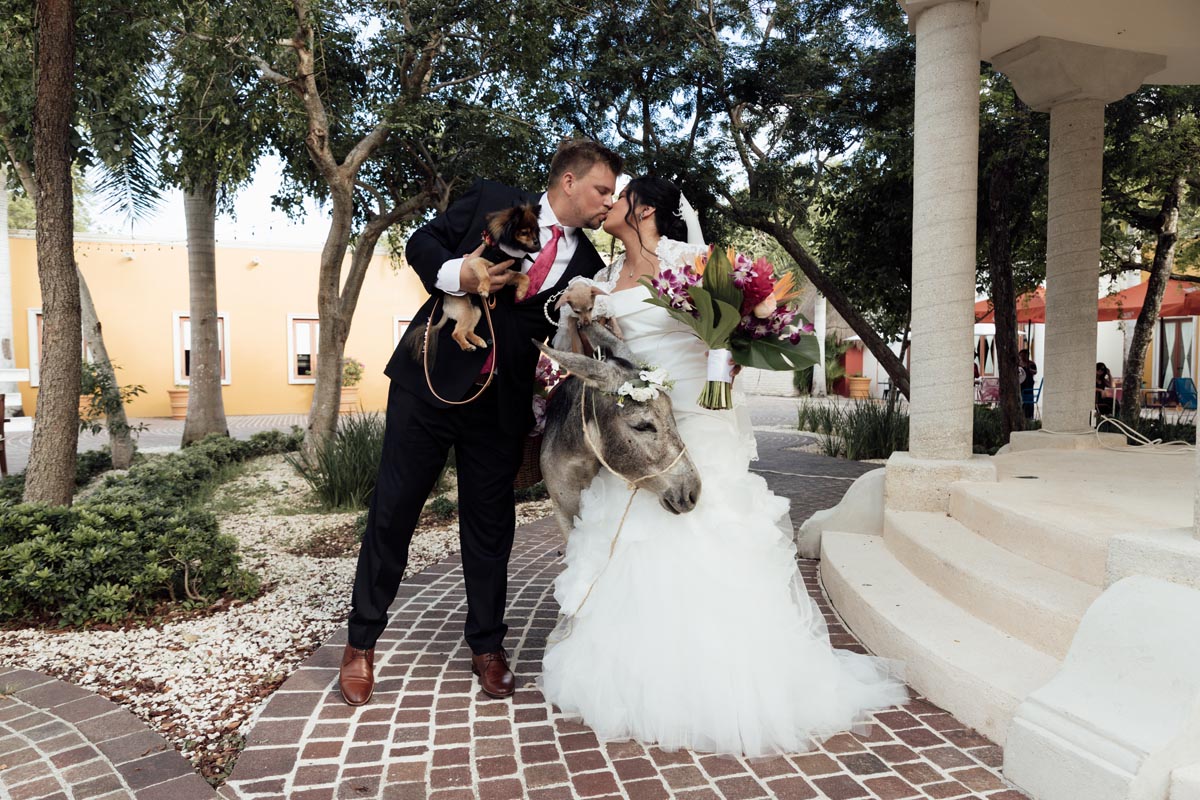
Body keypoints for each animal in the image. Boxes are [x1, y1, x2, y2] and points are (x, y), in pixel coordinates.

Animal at [412, 203, 544, 362]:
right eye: (524, 232)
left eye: (536, 232)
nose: (537, 242)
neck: (505, 253)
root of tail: (446, 308)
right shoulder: (476, 262)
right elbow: (486, 275)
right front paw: (484, 289)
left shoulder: (508, 274)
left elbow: (525, 277)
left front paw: (521, 293)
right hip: (467, 312)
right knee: (456, 333)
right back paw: (466, 346)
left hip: (476, 311)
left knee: (467, 331)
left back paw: (477, 341)